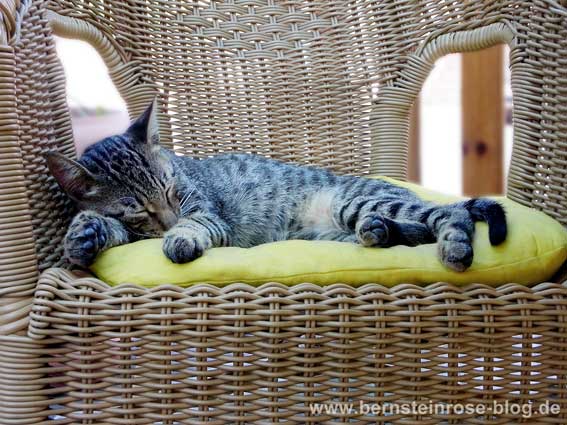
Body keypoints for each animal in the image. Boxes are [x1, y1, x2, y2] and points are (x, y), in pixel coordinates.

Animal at [47, 99, 506, 270]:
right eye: (140, 209)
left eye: (173, 190)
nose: (171, 218)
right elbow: (104, 227)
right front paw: (83, 236)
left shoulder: (208, 213)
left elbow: (197, 224)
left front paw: (180, 237)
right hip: (335, 232)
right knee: (412, 231)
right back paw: (380, 232)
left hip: (354, 202)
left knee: (449, 214)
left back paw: (454, 245)